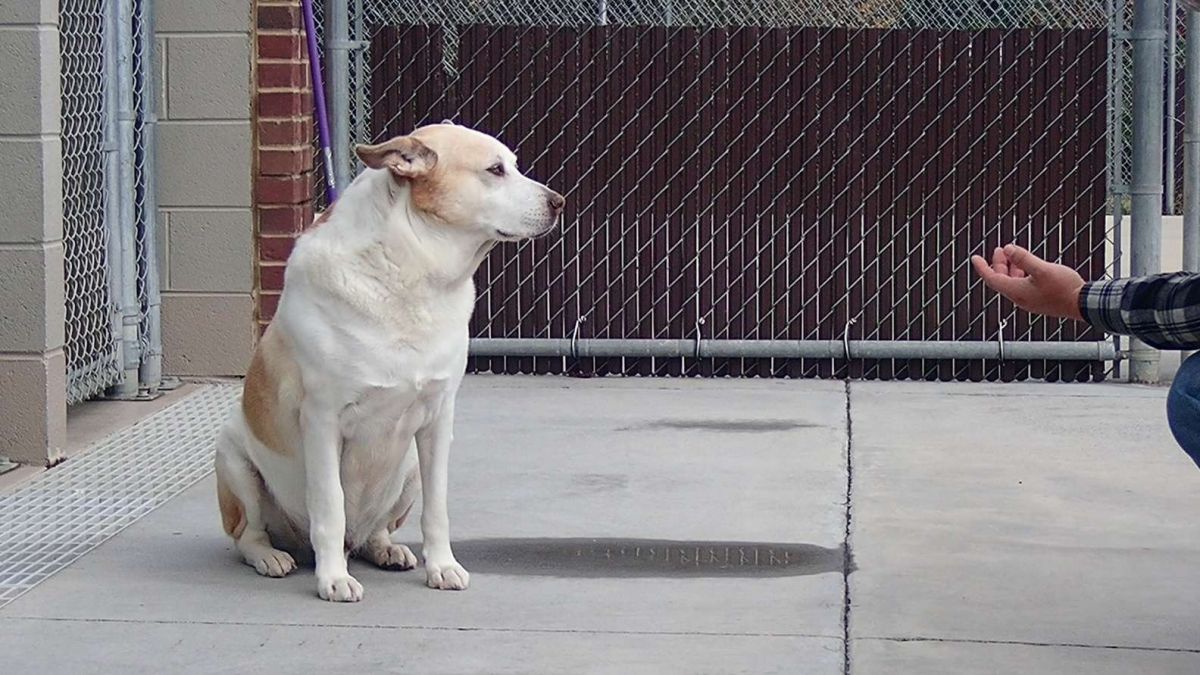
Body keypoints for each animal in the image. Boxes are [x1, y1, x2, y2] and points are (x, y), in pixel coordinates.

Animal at [213, 121, 564, 598]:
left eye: (512, 165)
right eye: (495, 170)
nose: (558, 202)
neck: (410, 270)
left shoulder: (438, 421)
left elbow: (437, 510)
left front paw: (442, 567)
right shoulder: (322, 421)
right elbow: (330, 507)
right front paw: (333, 579)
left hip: (410, 465)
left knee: (374, 532)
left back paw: (386, 550)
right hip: (233, 459)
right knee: (249, 535)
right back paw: (273, 557)